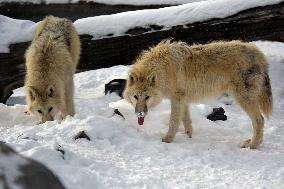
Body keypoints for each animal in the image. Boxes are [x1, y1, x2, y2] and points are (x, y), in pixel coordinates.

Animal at [123, 39, 272, 149]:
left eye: (147, 97)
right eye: (136, 97)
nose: (140, 114)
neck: (163, 70)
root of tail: (259, 53)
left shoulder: (177, 99)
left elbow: (173, 122)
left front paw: (167, 139)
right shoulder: (183, 99)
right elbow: (186, 120)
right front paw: (189, 136)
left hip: (242, 98)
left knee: (259, 120)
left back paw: (253, 145)